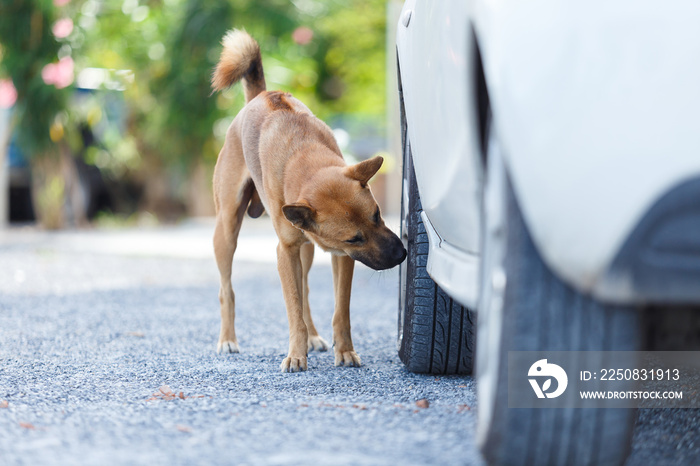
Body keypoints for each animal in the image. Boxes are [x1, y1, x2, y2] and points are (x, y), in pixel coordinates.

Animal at [211, 30, 404, 372]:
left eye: (378, 215)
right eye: (355, 238)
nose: (402, 254)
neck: (304, 158)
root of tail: (261, 95)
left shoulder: (340, 257)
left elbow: (339, 310)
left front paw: (345, 350)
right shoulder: (288, 251)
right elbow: (293, 309)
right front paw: (296, 354)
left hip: (308, 251)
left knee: (307, 293)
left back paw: (313, 337)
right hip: (226, 232)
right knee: (227, 290)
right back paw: (228, 340)